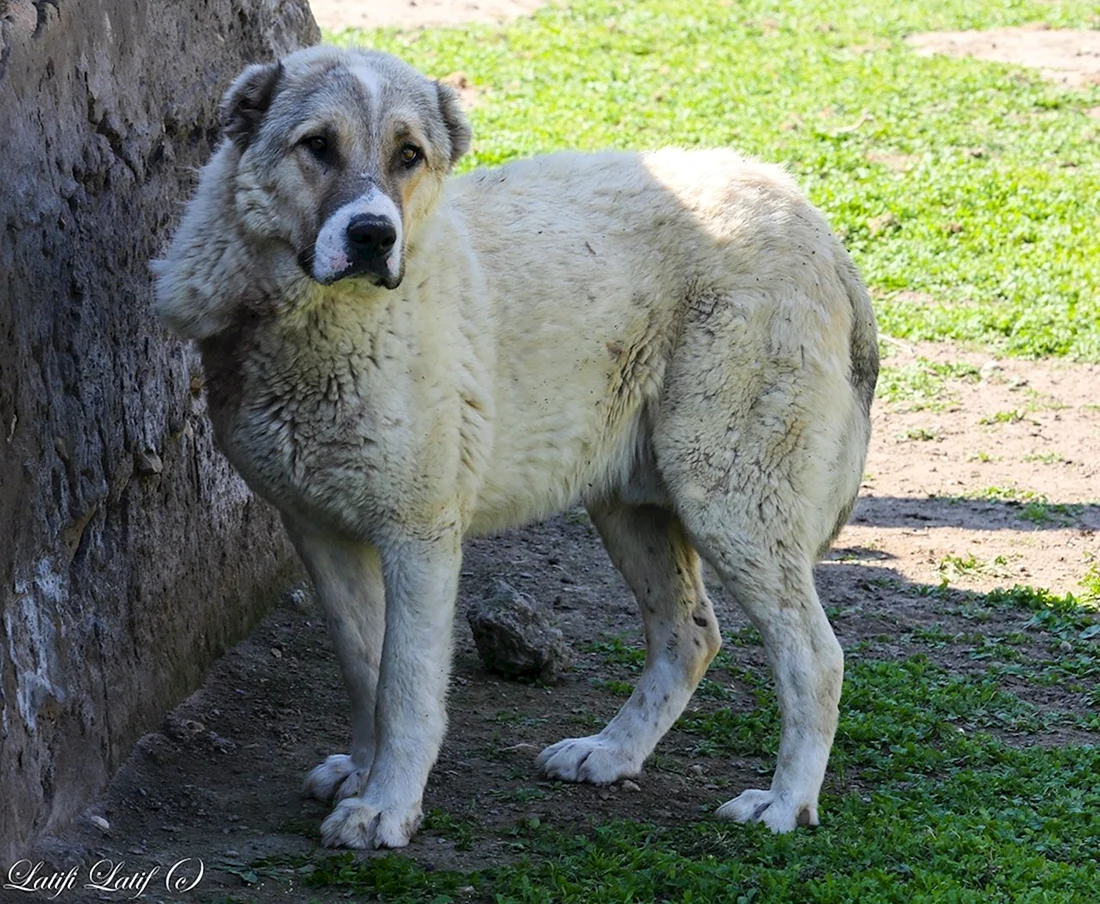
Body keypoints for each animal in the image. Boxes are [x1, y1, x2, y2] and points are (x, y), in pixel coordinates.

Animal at [152, 44, 875, 849]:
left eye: (409, 155)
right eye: (317, 146)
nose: (373, 236)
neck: (318, 322)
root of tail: (813, 222)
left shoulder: (420, 536)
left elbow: (405, 688)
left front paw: (386, 808)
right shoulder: (320, 532)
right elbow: (363, 668)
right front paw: (362, 775)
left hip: (730, 498)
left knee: (815, 655)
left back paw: (785, 803)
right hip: (632, 506)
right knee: (690, 635)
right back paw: (611, 753)